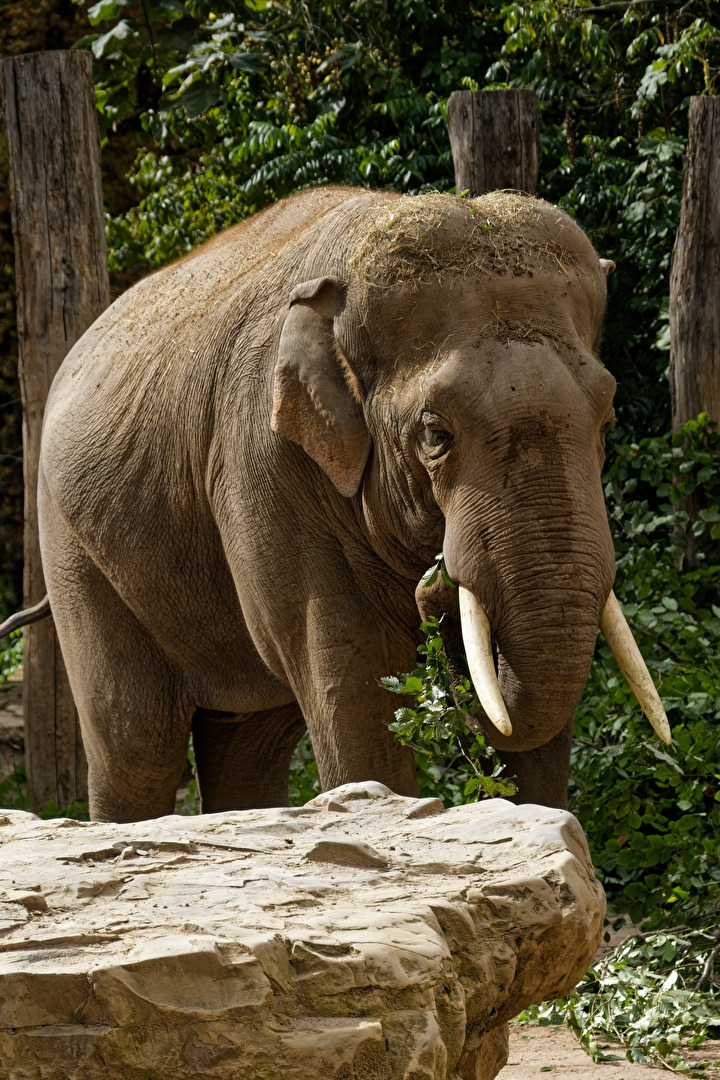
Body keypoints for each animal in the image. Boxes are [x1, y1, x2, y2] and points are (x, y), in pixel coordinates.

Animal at [36, 185, 669, 823]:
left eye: (608, 419)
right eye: (435, 433)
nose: (435, 581)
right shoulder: (266, 468)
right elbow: (357, 687)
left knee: (249, 743)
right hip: (75, 552)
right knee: (137, 748)